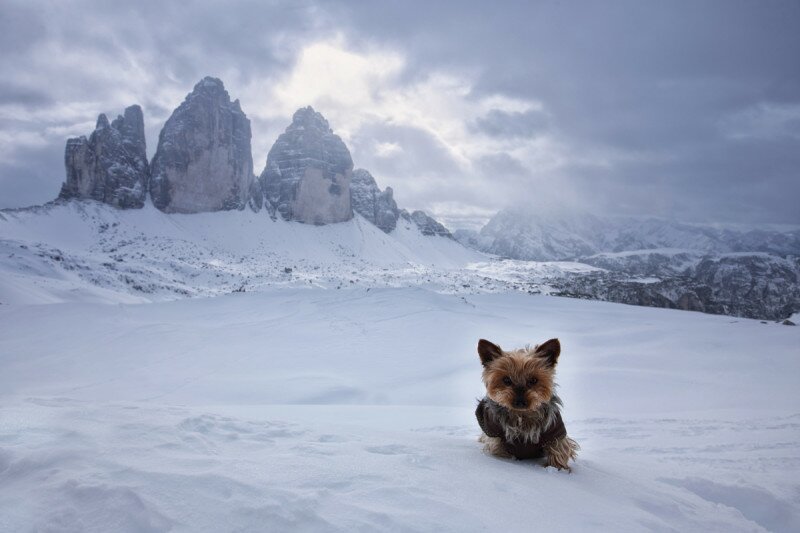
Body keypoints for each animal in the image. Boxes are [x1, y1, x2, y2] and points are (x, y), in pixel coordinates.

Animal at [476, 336, 580, 470]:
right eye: (506, 380)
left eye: (533, 380)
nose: (520, 401)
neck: (521, 416)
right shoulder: (495, 438)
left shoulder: (555, 433)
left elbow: (559, 451)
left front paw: (558, 469)